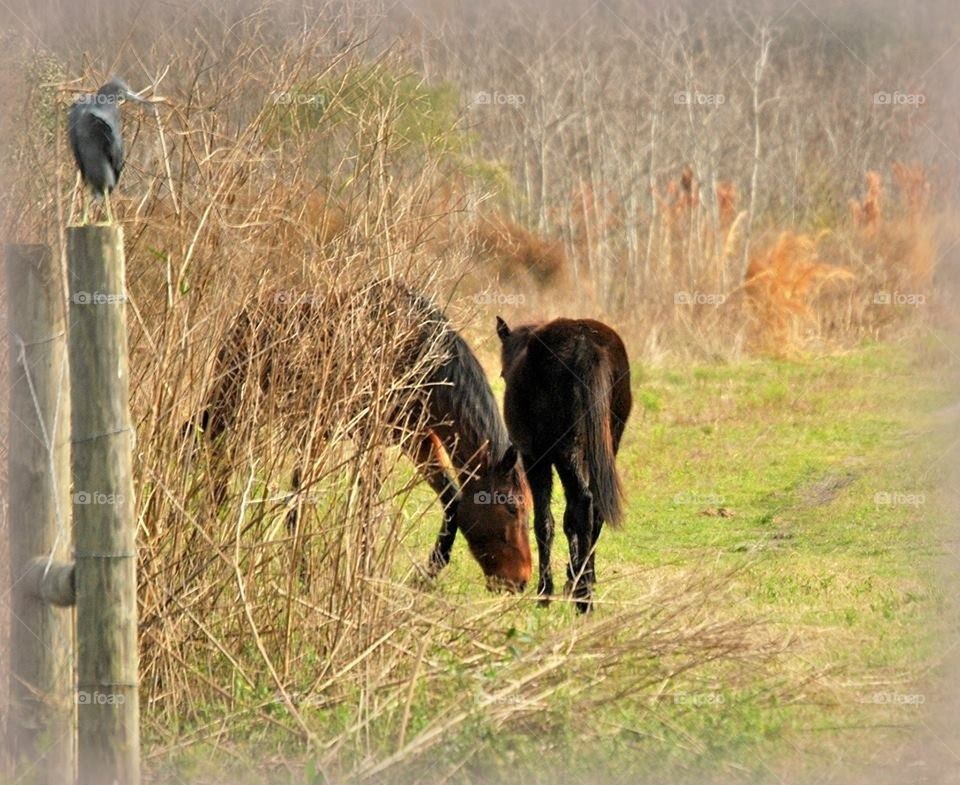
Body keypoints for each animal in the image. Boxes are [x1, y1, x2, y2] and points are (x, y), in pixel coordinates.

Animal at [187, 281, 532, 592]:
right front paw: (365, 573)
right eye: (511, 507)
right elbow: (369, 505)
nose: (521, 580)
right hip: (231, 407)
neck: (420, 357)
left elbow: (452, 500)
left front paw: (428, 571)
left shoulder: (417, 439)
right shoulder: (373, 438)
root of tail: (247, 312)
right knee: (215, 462)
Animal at [496, 316, 631, 611]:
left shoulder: (535, 459)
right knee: (594, 508)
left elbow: (544, 522)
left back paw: (583, 599)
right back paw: (583, 583)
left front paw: (545, 592)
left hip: (565, 452)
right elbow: (570, 520)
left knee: (583, 501)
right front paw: (573, 577)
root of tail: (587, 345)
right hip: (603, 446)